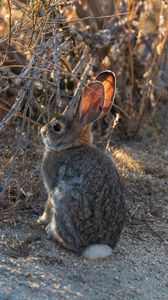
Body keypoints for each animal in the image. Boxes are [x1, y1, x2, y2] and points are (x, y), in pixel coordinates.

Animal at [39, 71, 125, 258]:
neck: (71, 146)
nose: (42, 131)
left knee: (72, 244)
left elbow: (47, 205)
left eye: (56, 127)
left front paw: (41, 219)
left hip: (63, 198)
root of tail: (97, 246)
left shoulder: (51, 186)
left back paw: (51, 232)